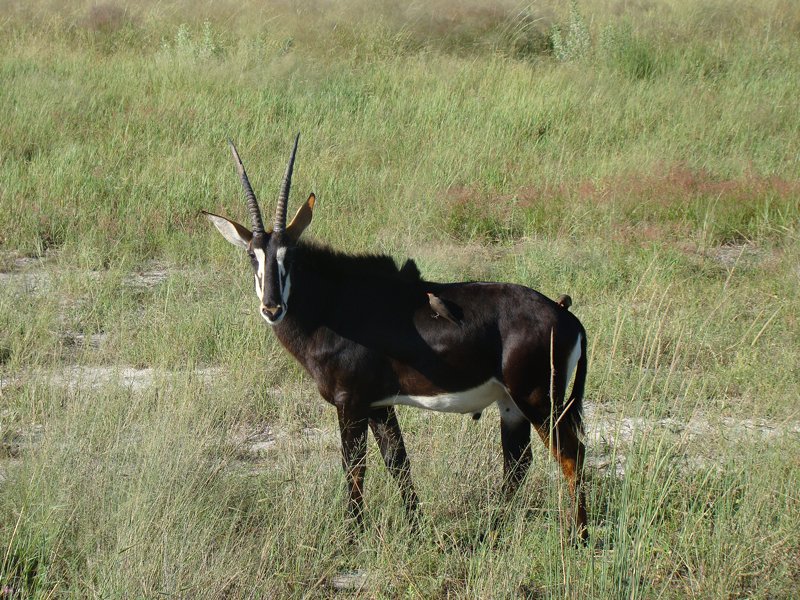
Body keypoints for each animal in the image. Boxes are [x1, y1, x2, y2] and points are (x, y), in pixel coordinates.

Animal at [203, 137, 592, 544]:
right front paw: (417, 530)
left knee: (571, 454)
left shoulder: (351, 402)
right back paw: (491, 531)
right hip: (511, 404)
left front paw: (352, 537)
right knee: (518, 462)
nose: (272, 307)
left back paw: (579, 538)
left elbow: (354, 466)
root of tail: (566, 317)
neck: (333, 304)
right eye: (252, 256)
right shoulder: (379, 404)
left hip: (538, 400)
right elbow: (397, 462)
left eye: (289, 256)